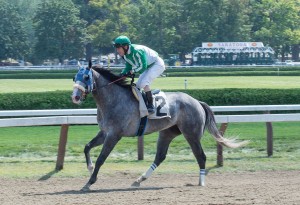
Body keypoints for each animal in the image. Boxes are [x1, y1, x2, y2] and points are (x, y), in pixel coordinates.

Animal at [71, 62, 247, 191]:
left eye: (86, 77)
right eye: (74, 77)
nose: (75, 97)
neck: (113, 100)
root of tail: (197, 101)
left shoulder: (114, 135)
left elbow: (101, 159)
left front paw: (89, 182)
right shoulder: (105, 132)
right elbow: (87, 147)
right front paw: (89, 167)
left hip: (191, 133)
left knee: (201, 156)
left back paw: (201, 182)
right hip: (167, 132)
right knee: (160, 156)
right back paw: (139, 180)